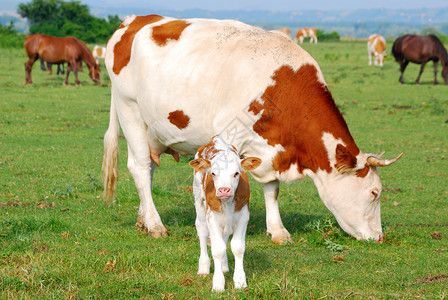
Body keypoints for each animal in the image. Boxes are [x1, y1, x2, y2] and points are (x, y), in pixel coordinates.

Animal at [101, 14, 402, 246]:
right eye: (374, 193)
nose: (379, 237)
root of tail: (133, 21)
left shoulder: (271, 148)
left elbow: (272, 189)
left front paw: (278, 231)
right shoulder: (228, 137)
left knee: (148, 169)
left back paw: (143, 219)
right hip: (130, 111)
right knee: (140, 168)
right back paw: (155, 225)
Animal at [189, 135, 262, 290]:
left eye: (236, 173)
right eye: (213, 173)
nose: (224, 190)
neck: (227, 204)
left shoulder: (243, 217)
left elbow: (238, 247)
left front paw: (240, 281)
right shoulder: (212, 218)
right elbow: (218, 249)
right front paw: (218, 284)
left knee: (225, 235)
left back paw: (223, 266)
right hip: (198, 198)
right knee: (202, 229)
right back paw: (203, 267)